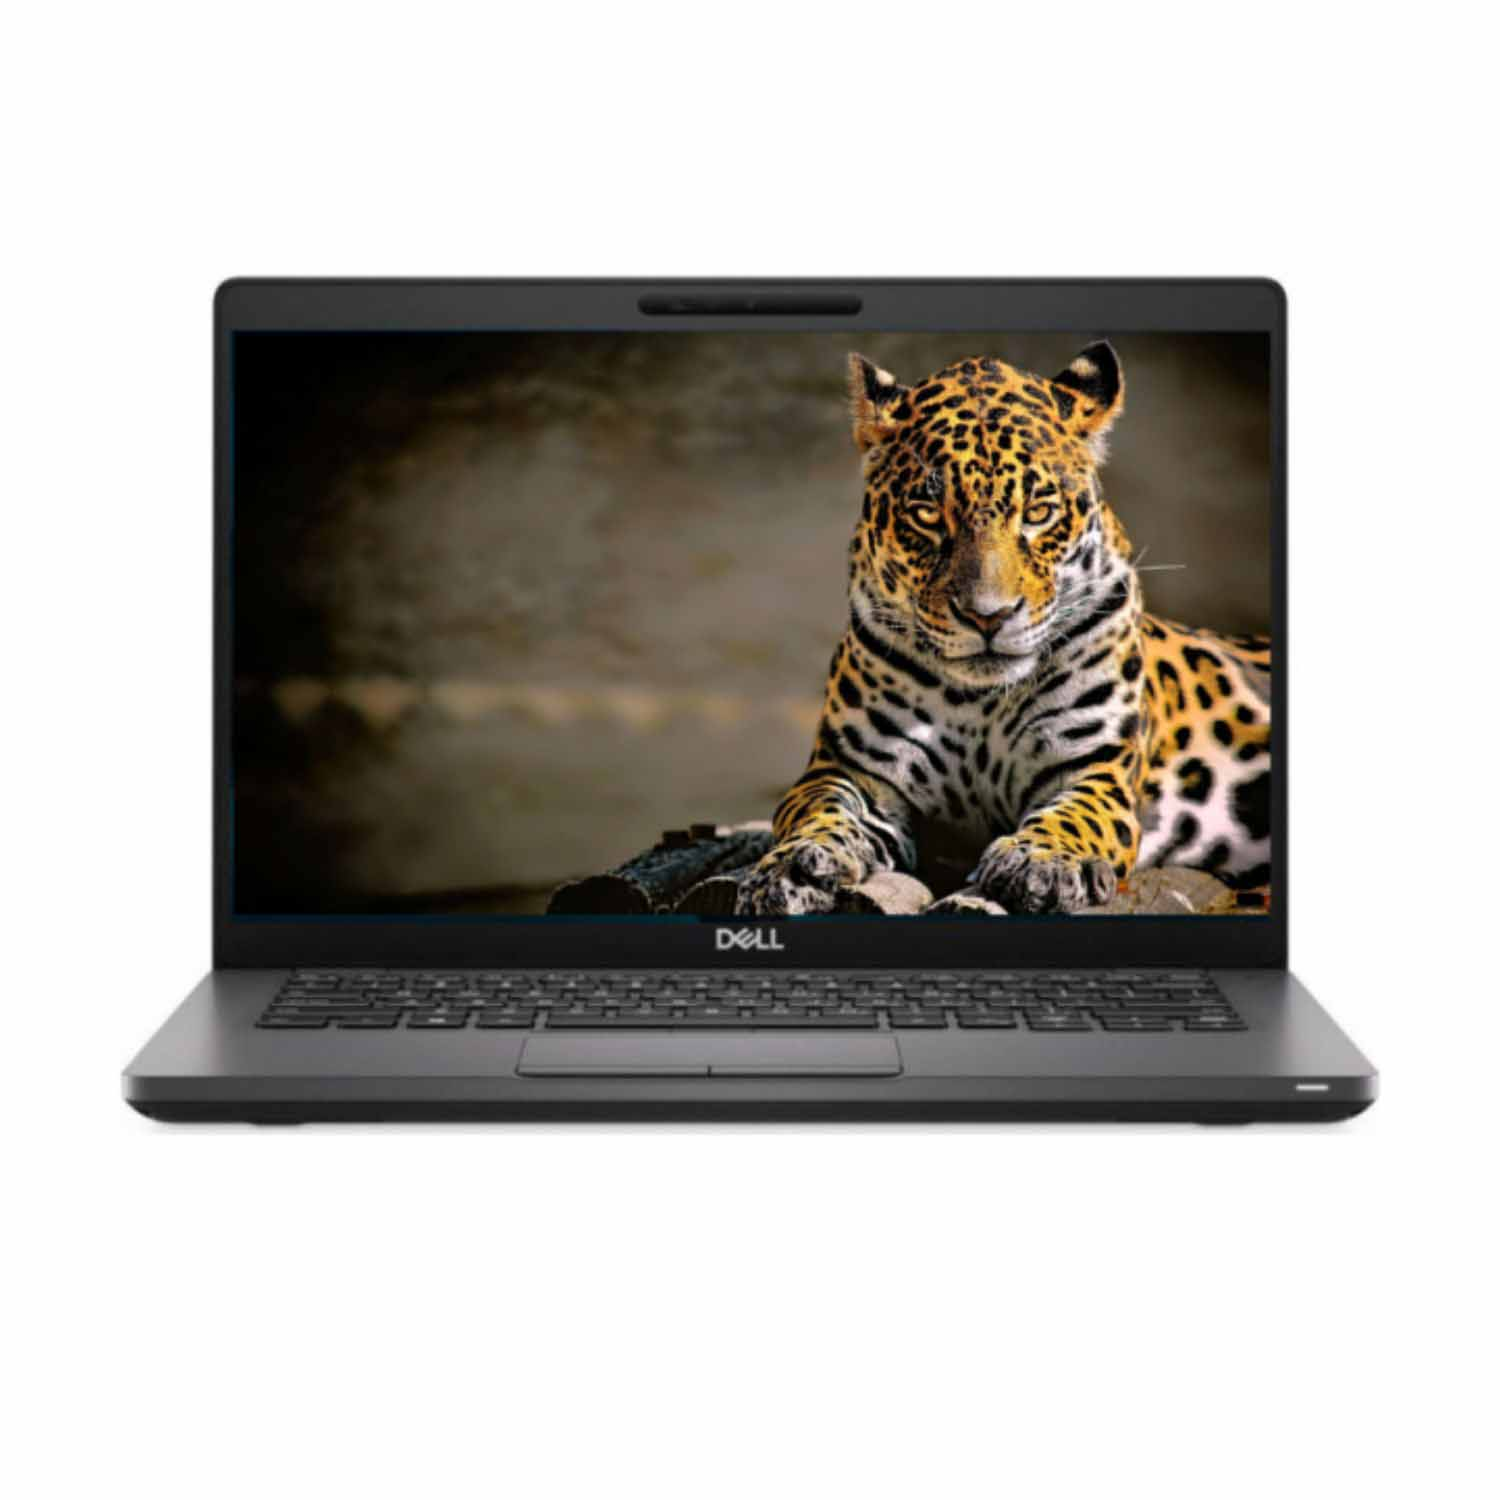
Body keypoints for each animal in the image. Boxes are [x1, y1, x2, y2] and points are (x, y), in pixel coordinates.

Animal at [736, 341, 1272, 917]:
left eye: (1038, 512)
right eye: (928, 515)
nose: (987, 616)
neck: (980, 702)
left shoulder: (1096, 767)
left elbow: (1075, 815)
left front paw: (1041, 861)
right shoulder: (851, 768)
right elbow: (817, 809)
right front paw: (793, 865)